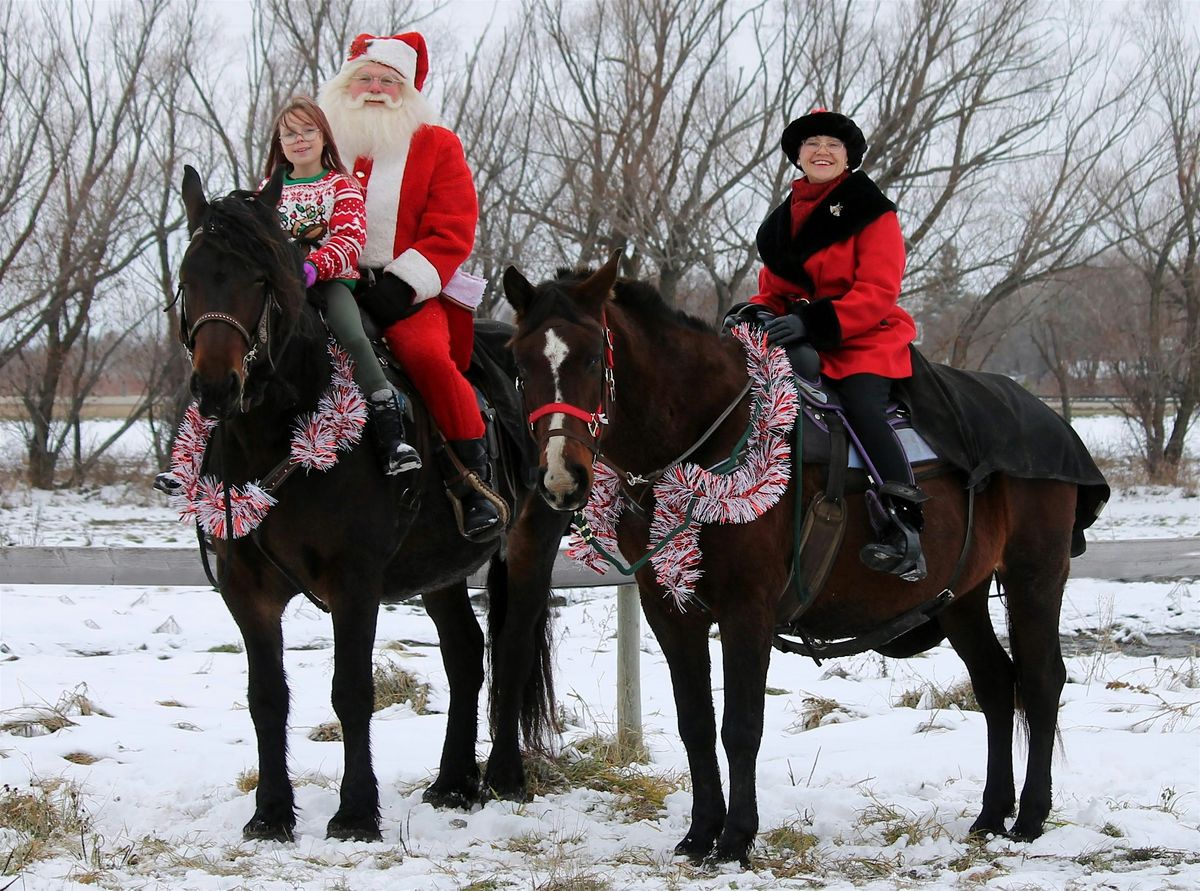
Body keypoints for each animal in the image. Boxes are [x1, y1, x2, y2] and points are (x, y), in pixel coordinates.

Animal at [175, 168, 568, 845]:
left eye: (258, 278)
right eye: (189, 274)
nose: (218, 386)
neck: (280, 429)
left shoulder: (353, 582)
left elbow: (352, 691)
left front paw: (356, 812)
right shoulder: (246, 589)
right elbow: (265, 697)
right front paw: (271, 814)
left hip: (530, 543)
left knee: (510, 649)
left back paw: (504, 778)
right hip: (440, 569)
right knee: (466, 655)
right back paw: (453, 782)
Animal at [506, 254, 1089, 869]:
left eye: (593, 357)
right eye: (519, 363)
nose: (561, 477)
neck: (710, 435)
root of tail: (1046, 417)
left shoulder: (748, 610)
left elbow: (740, 726)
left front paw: (736, 839)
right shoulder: (669, 608)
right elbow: (695, 723)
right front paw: (699, 834)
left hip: (1034, 575)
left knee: (1042, 679)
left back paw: (1030, 817)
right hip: (963, 597)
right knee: (996, 684)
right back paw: (991, 814)